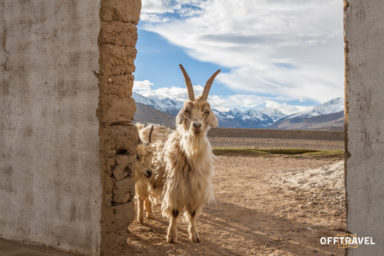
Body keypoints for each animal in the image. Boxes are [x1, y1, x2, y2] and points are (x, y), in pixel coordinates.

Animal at [160, 64, 219, 242]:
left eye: (206, 111)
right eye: (187, 110)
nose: (197, 125)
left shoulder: (196, 190)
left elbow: (192, 213)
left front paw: (194, 235)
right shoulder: (175, 187)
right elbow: (174, 212)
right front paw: (171, 236)